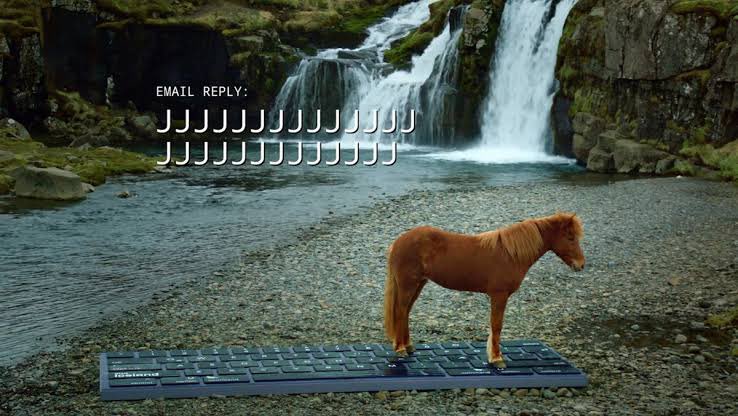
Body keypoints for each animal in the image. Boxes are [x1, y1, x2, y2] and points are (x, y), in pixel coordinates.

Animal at [384, 212, 585, 368]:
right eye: (570, 237)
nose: (581, 265)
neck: (511, 254)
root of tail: (398, 242)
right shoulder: (499, 295)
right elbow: (496, 325)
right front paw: (496, 359)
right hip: (408, 284)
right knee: (401, 311)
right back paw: (400, 349)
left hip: (419, 284)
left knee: (406, 312)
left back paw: (408, 346)